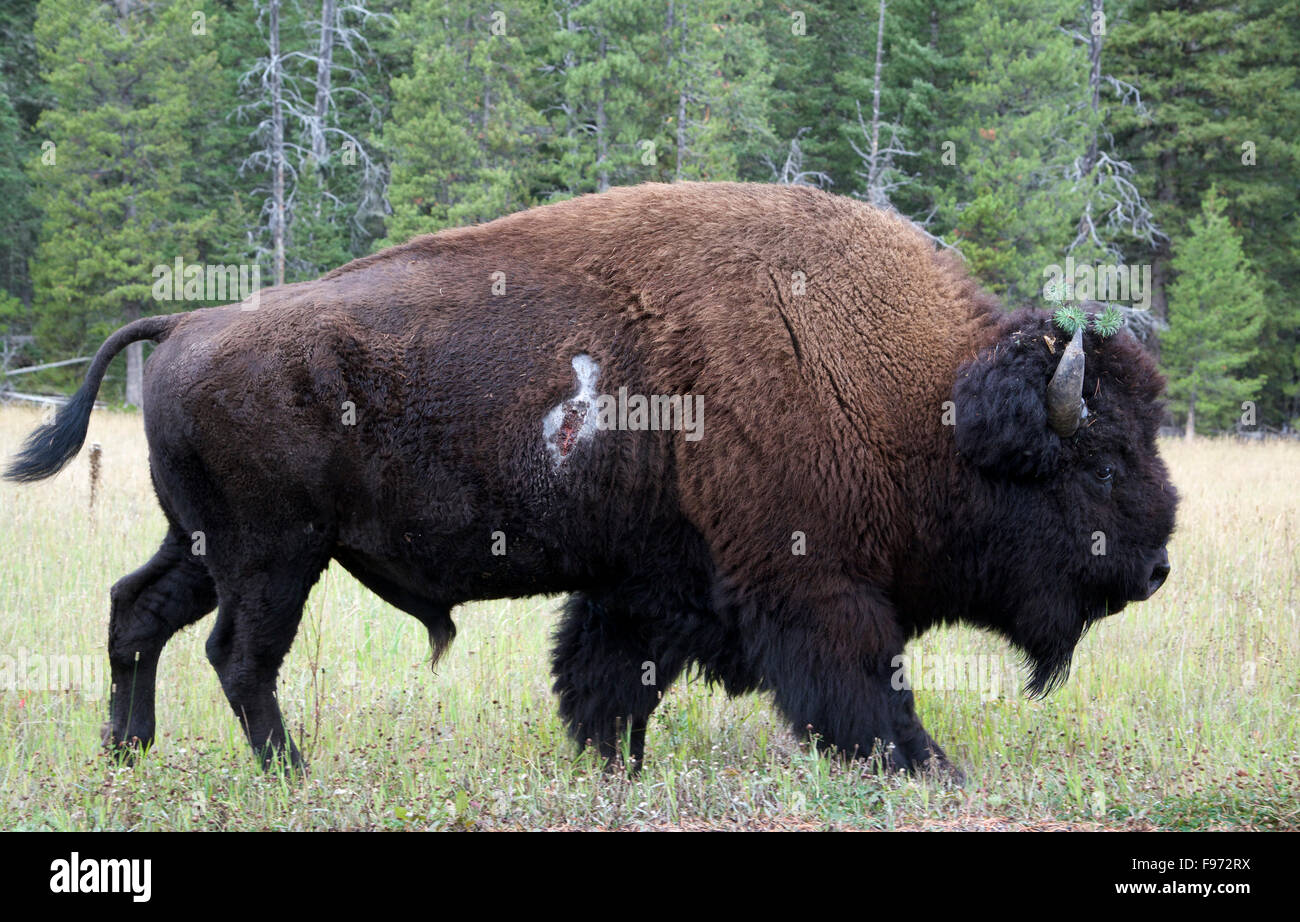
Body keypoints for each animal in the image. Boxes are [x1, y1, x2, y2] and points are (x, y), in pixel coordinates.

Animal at [2, 183, 1180, 775]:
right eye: (1098, 459)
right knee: (237, 657)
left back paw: (127, 757)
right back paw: (288, 773)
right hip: (273, 555)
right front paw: (932, 769)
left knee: (136, 613)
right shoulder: (815, 586)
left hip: (205, 543)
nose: (1159, 563)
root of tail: (184, 322)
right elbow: (864, 686)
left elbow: (610, 679)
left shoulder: (648, 583)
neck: (911, 390)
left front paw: (615, 765)